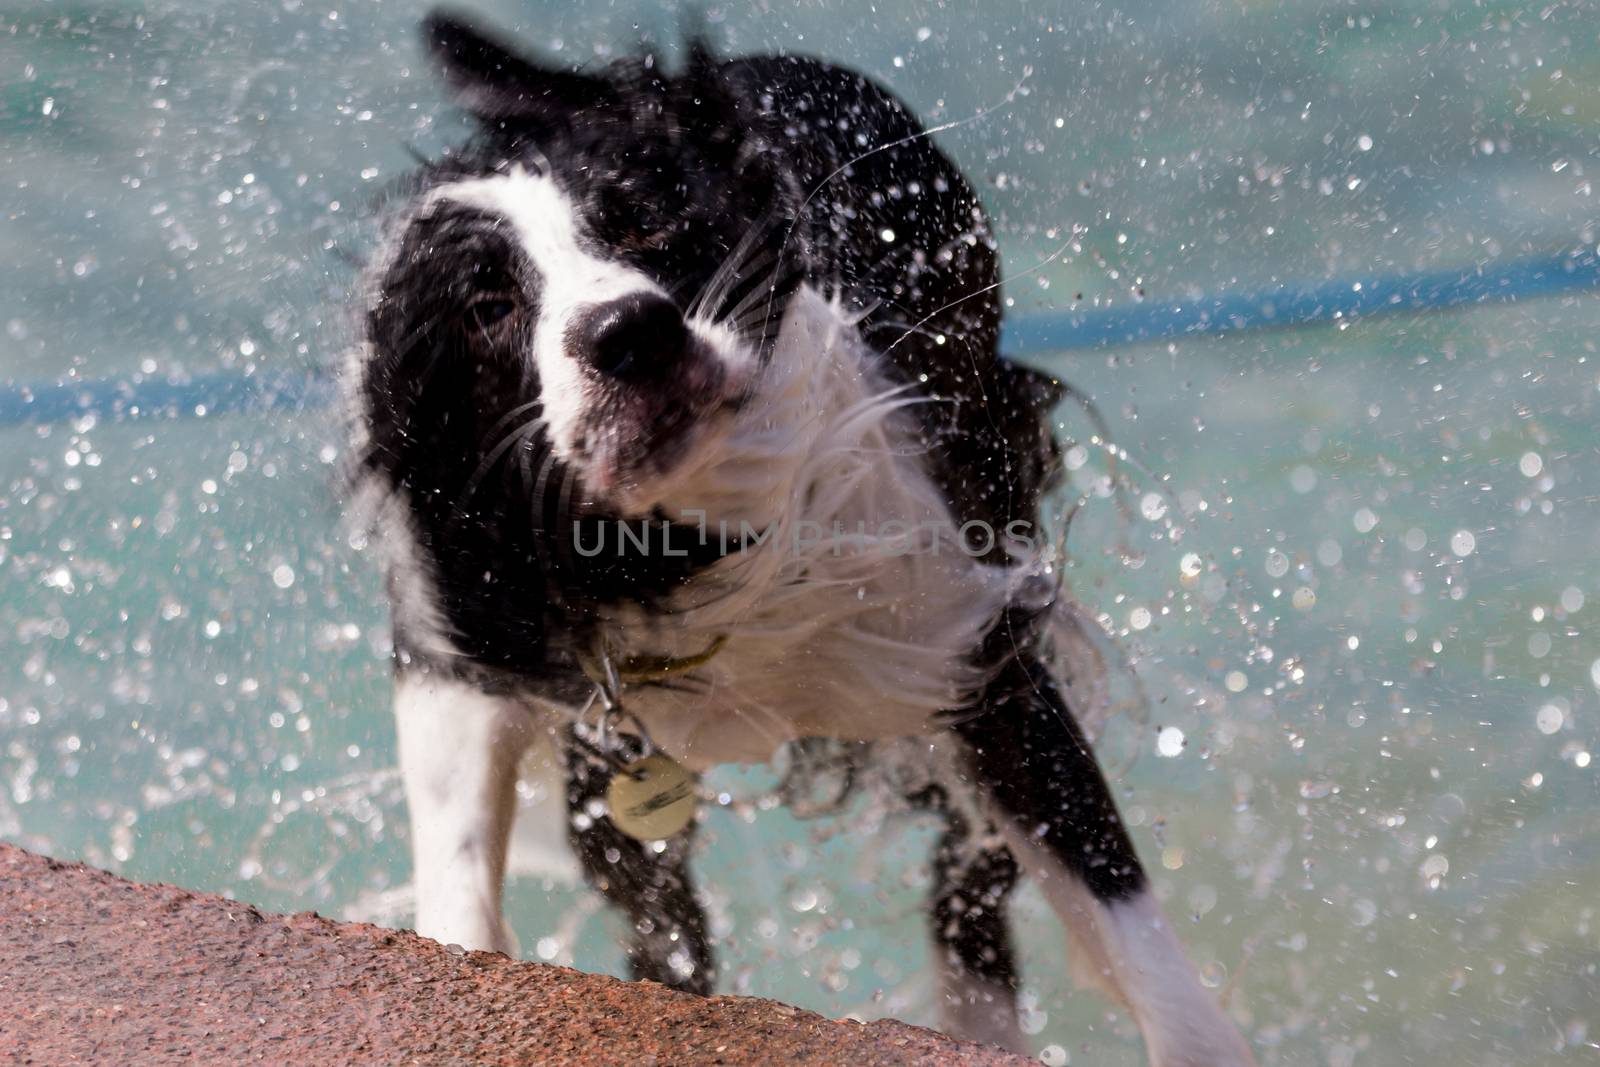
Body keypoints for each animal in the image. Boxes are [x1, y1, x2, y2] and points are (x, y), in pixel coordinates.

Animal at [344, 12, 1254, 1062]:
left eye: (642, 219)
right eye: (487, 308)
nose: (630, 330)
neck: (686, 548)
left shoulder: (976, 642)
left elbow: (1114, 899)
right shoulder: (474, 638)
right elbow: (460, 841)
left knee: (969, 873)